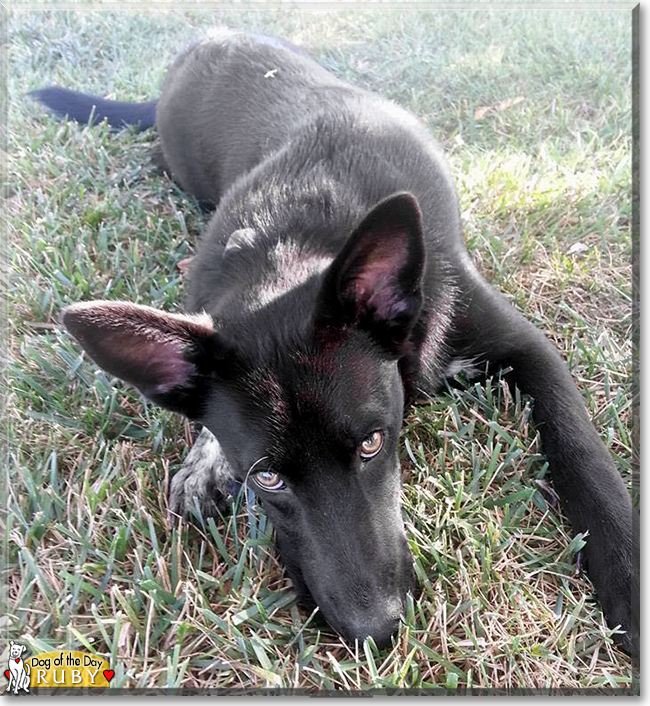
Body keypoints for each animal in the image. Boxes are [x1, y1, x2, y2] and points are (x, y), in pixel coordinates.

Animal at [33, 31, 636, 648]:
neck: (290, 249)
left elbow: (581, 453)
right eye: (267, 477)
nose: (377, 631)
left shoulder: (523, 345)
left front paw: (628, 574)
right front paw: (206, 459)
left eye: (373, 443)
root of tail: (211, 38)